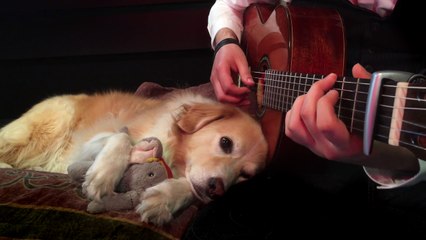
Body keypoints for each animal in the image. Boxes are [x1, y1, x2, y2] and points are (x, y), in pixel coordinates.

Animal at [0, 90, 268, 225]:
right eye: (226, 143)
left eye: (245, 175)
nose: (217, 189)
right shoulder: (87, 145)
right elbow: (123, 137)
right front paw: (103, 175)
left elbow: (189, 188)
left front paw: (164, 199)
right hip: (46, 128)